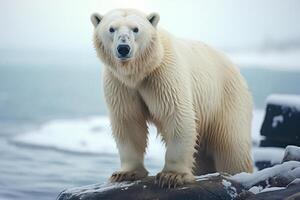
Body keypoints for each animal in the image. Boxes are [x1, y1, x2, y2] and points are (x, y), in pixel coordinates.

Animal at [90, 9, 252, 188]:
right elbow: (128, 121)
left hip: (226, 98)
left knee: (231, 145)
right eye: (111, 29)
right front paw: (124, 173)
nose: (123, 48)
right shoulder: (119, 83)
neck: (141, 71)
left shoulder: (164, 74)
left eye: (136, 29)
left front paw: (172, 176)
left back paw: (238, 174)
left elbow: (176, 115)